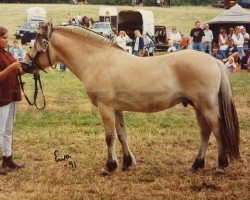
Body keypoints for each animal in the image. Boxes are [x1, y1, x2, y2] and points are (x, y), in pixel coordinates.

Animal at [23, 23, 240, 176]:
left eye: (37, 43)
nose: (24, 65)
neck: (97, 61)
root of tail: (214, 60)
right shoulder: (117, 109)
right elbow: (122, 135)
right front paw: (127, 163)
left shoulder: (105, 108)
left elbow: (109, 137)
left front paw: (109, 167)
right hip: (198, 107)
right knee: (205, 132)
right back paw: (197, 164)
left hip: (207, 106)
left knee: (217, 131)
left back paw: (220, 166)